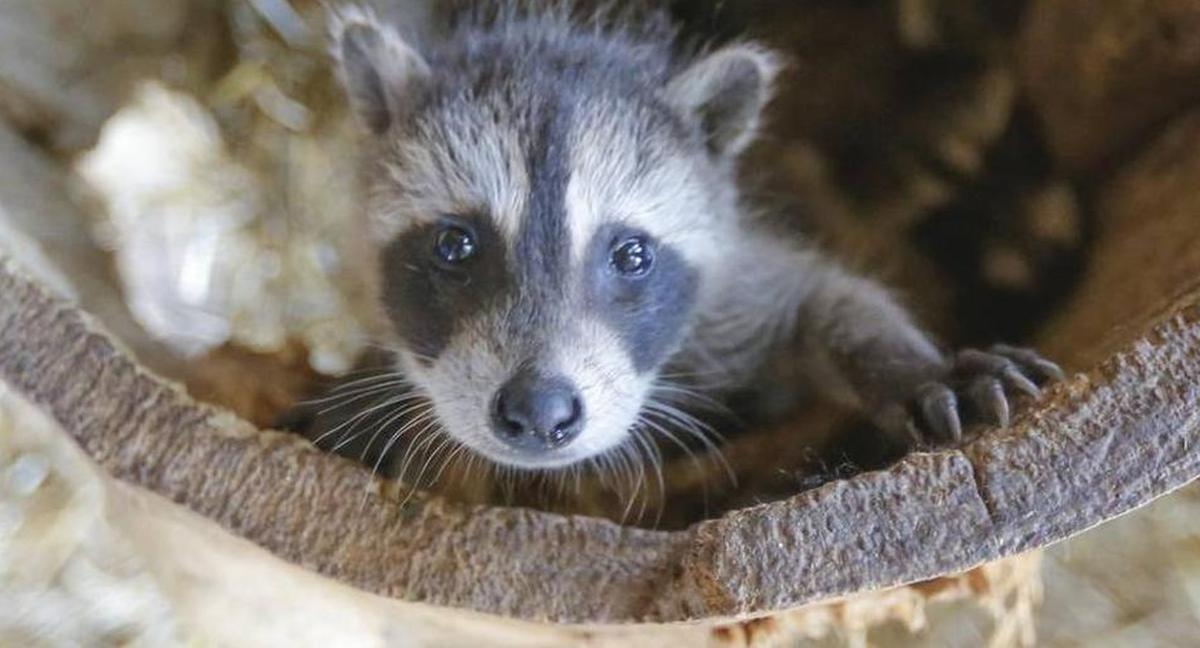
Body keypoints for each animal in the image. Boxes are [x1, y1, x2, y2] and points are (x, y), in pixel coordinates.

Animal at [306, 2, 1061, 479]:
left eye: (632, 255)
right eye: (455, 246)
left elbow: (828, 299)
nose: (540, 412)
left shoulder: (732, 290)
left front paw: (910, 365)